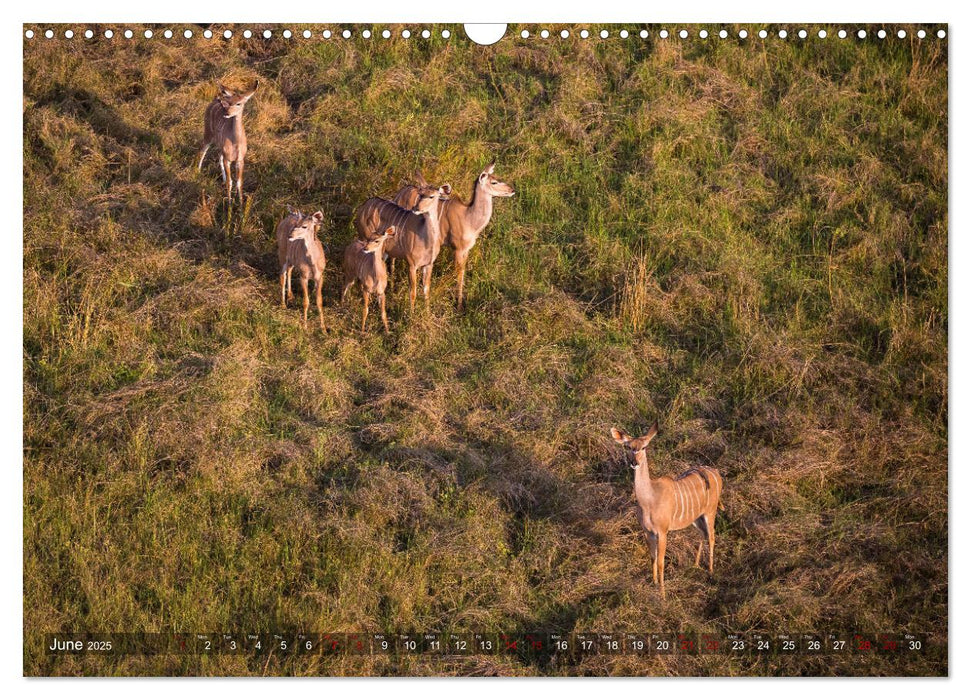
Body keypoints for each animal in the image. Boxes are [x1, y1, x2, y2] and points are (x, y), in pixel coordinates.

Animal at [354, 180, 452, 312]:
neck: (426, 241)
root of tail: (362, 208)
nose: (416, 208)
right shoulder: (412, 264)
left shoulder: (428, 264)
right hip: (366, 241)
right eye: (420, 194)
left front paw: (427, 313)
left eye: (431, 196)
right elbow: (413, 292)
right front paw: (411, 314)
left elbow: (426, 290)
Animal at [394, 164, 516, 308]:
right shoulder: (457, 249)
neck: (468, 218)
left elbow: (462, 272)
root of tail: (400, 193)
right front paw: (459, 305)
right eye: (494, 182)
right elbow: (459, 273)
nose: (512, 190)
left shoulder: (466, 250)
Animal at [612, 422, 724, 596]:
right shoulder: (648, 531)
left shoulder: (663, 531)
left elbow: (661, 562)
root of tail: (717, 473)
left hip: (710, 511)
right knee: (703, 533)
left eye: (644, 447)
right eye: (628, 446)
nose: (634, 462)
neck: (649, 500)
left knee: (712, 536)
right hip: (696, 518)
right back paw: (695, 565)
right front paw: (654, 583)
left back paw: (711, 571)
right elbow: (652, 557)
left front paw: (663, 594)